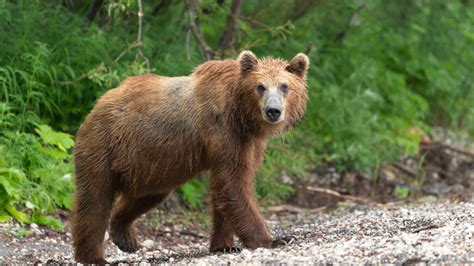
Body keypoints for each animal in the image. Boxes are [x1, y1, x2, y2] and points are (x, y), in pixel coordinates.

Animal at [69, 51, 308, 262]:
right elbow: (233, 183)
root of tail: (97, 105)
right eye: (260, 86)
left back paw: (125, 237)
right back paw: (94, 257)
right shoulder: (223, 129)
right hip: (103, 146)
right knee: (94, 200)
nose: (273, 111)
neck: (242, 114)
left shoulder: (248, 142)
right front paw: (272, 240)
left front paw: (224, 245)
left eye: (284, 86)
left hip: (151, 165)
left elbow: (228, 185)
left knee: (147, 195)